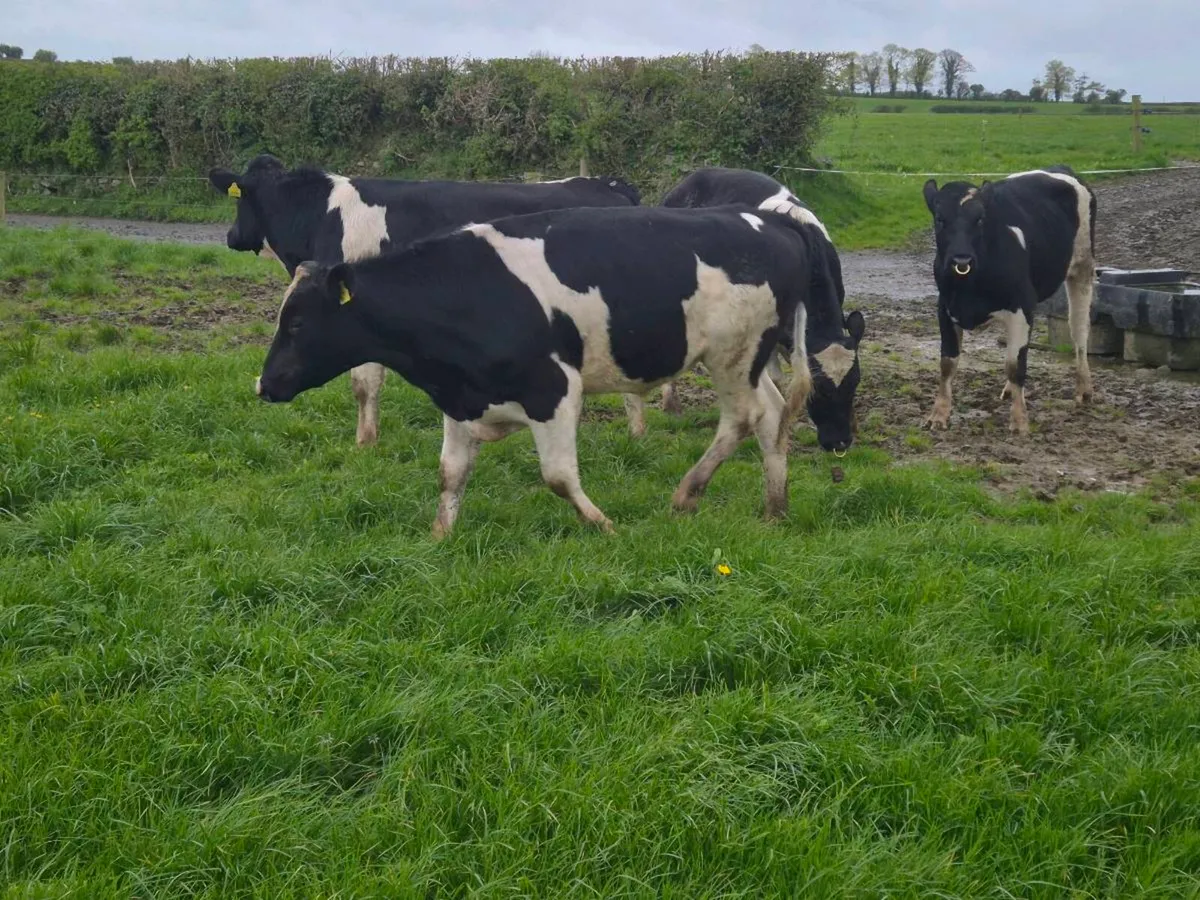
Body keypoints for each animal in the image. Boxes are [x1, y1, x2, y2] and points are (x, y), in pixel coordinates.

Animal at [208, 153, 642, 447]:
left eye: (238, 199)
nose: (230, 236)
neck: (323, 214)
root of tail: (608, 184)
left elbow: (364, 382)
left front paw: (365, 442)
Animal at [253, 203, 840, 538]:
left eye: (298, 323)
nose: (264, 383)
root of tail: (775, 221)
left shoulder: (554, 389)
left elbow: (557, 476)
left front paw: (603, 525)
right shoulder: (458, 397)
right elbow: (450, 473)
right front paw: (440, 535)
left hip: (732, 355)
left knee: (742, 419)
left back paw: (687, 494)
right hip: (751, 358)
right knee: (770, 416)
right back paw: (775, 508)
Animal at [921, 164, 1097, 435]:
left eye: (980, 219)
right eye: (940, 219)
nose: (961, 260)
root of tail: (1059, 168)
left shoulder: (1021, 308)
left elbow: (1015, 366)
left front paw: (1019, 420)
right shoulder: (946, 308)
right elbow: (947, 363)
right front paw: (938, 415)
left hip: (1083, 267)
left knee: (1079, 332)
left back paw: (1084, 389)